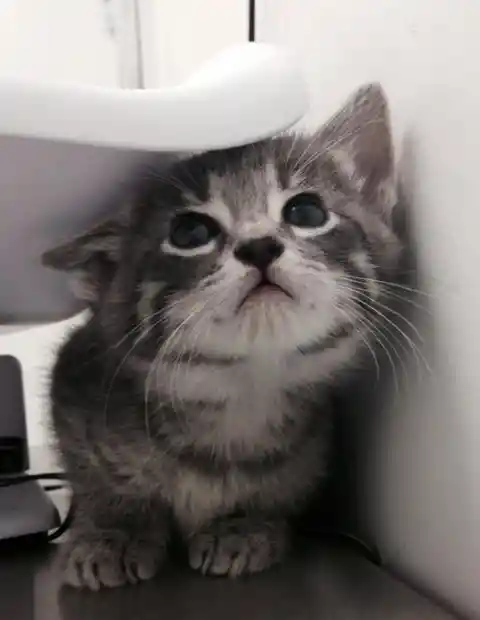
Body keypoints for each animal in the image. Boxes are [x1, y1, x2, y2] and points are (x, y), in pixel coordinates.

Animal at [43, 83, 402, 592]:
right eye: (190, 231)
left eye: (307, 211)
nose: (259, 245)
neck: (240, 396)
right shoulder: (75, 383)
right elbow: (95, 477)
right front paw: (115, 532)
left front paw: (243, 525)